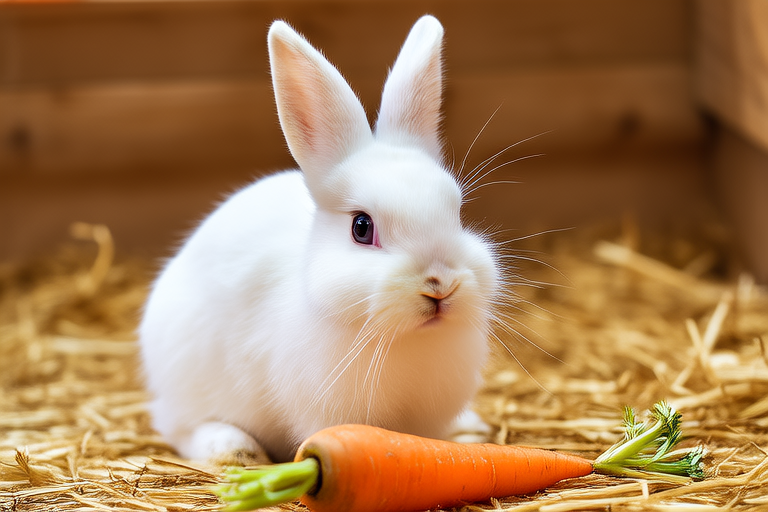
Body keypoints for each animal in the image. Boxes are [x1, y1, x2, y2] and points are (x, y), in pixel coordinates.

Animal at [138, 14, 500, 464]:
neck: (400, 337)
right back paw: (234, 449)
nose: (440, 284)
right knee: (177, 425)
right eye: (362, 227)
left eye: (457, 213)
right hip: (186, 374)